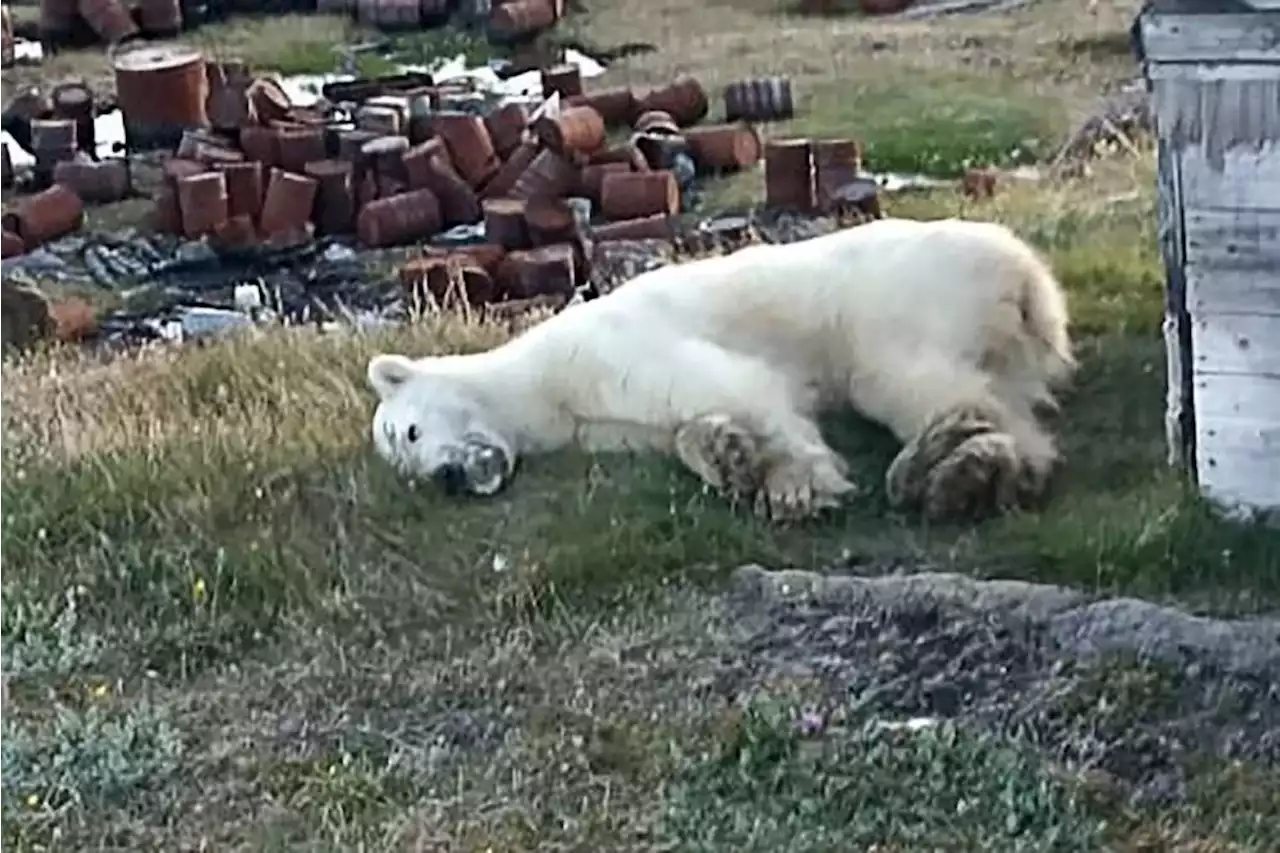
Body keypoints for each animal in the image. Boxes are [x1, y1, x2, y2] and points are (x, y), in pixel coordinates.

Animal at [366, 216, 1075, 517]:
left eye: (410, 432)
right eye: (406, 471)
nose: (447, 478)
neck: (538, 382)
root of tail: (1023, 270)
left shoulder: (604, 351)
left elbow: (733, 384)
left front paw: (797, 486)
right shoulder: (599, 423)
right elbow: (679, 427)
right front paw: (727, 455)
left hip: (901, 297)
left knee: (906, 378)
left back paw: (953, 471)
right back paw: (982, 472)